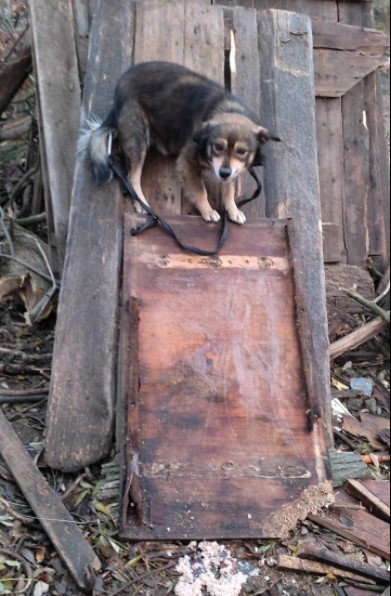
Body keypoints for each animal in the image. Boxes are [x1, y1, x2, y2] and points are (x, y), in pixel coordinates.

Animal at [79, 61, 278, 224]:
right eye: (217, 147)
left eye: (242, 151)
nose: (223, 173)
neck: (226, 108)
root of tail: (117, 96)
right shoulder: (187, 163)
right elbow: (201, 191)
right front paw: (208, 211)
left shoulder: (230, 171)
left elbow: (228, 190)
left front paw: (233, 210)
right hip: (138, 139)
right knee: (132, 177)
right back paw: (142, 204)